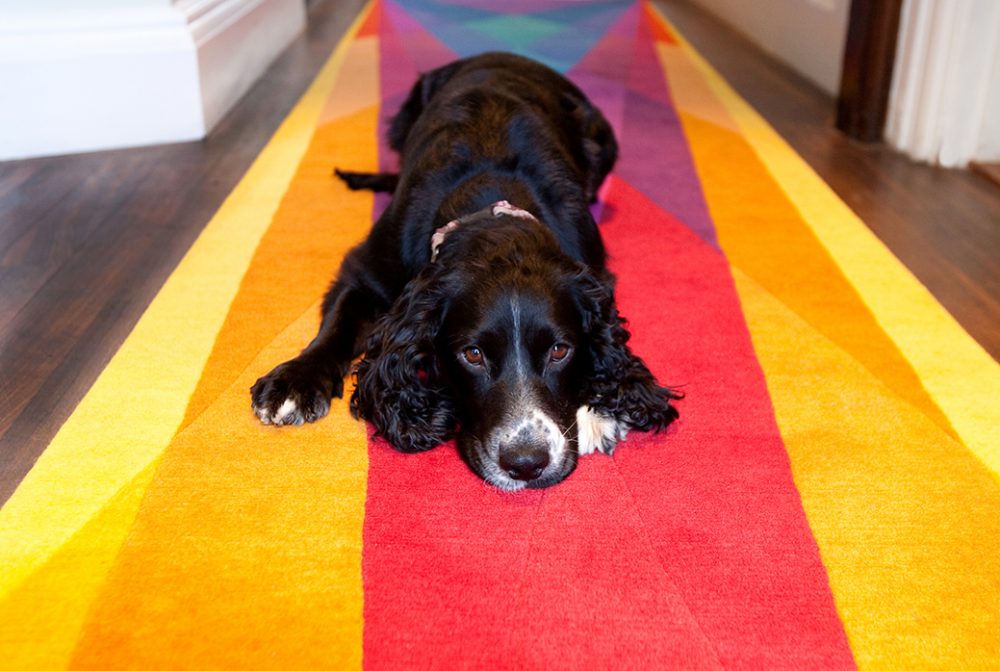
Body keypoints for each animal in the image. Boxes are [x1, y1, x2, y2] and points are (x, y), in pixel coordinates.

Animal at [254, 51, 684, 488]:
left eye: (560, 350)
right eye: (472, 355)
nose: (526, 463)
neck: (491, 209)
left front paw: (595, 412)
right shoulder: (366, 270)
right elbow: (337, 326)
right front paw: (296, 379)